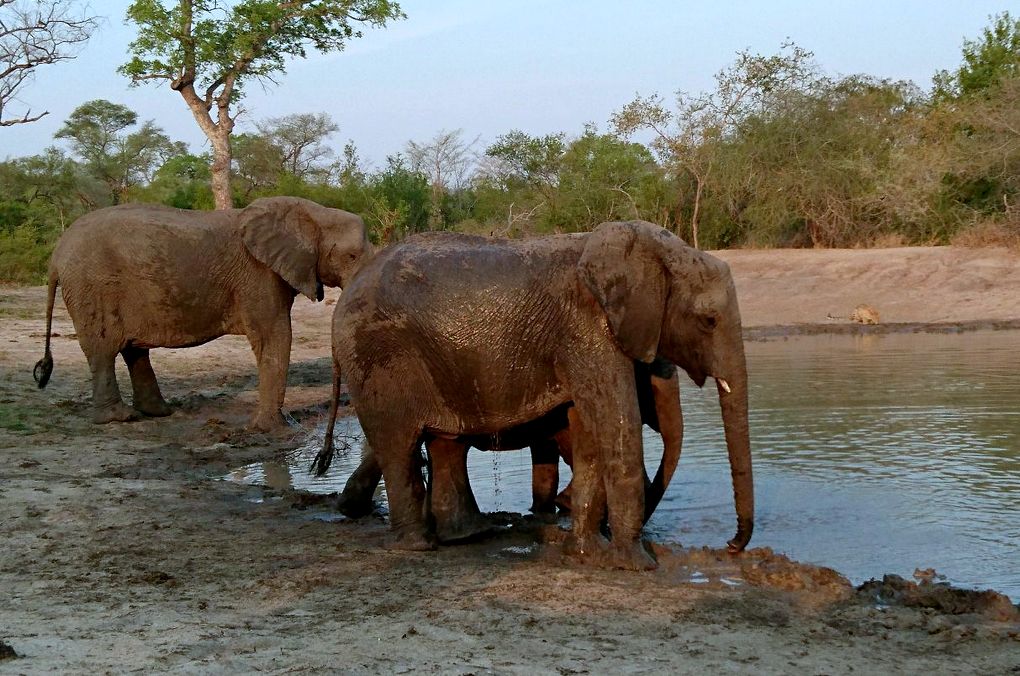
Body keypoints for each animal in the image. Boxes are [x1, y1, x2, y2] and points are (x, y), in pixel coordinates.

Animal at [32, 196, 372, 430]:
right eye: (351, 256)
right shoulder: (257, 275)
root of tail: (56, 255)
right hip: (94, 286)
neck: (313, 212)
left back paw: (158, 412)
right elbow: (274, 336)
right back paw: (121, 418)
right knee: (104, 350)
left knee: (133, 350)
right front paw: (272, 429)